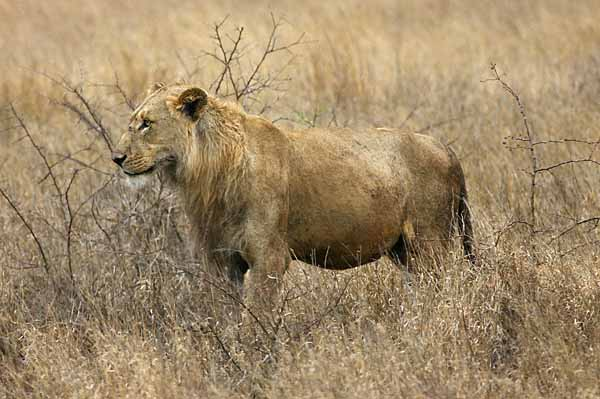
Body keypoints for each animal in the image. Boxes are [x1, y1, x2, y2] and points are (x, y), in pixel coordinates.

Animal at [112, 83, 474, 310]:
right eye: (133, 122)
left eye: (146, 123)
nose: (116, 157)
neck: (207, 172)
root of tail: (446, 148)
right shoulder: (222, 260)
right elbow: (227, 313)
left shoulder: (269, 258)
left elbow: (257, 319)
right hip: (403, 251)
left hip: (429, 242)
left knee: (445, 288)